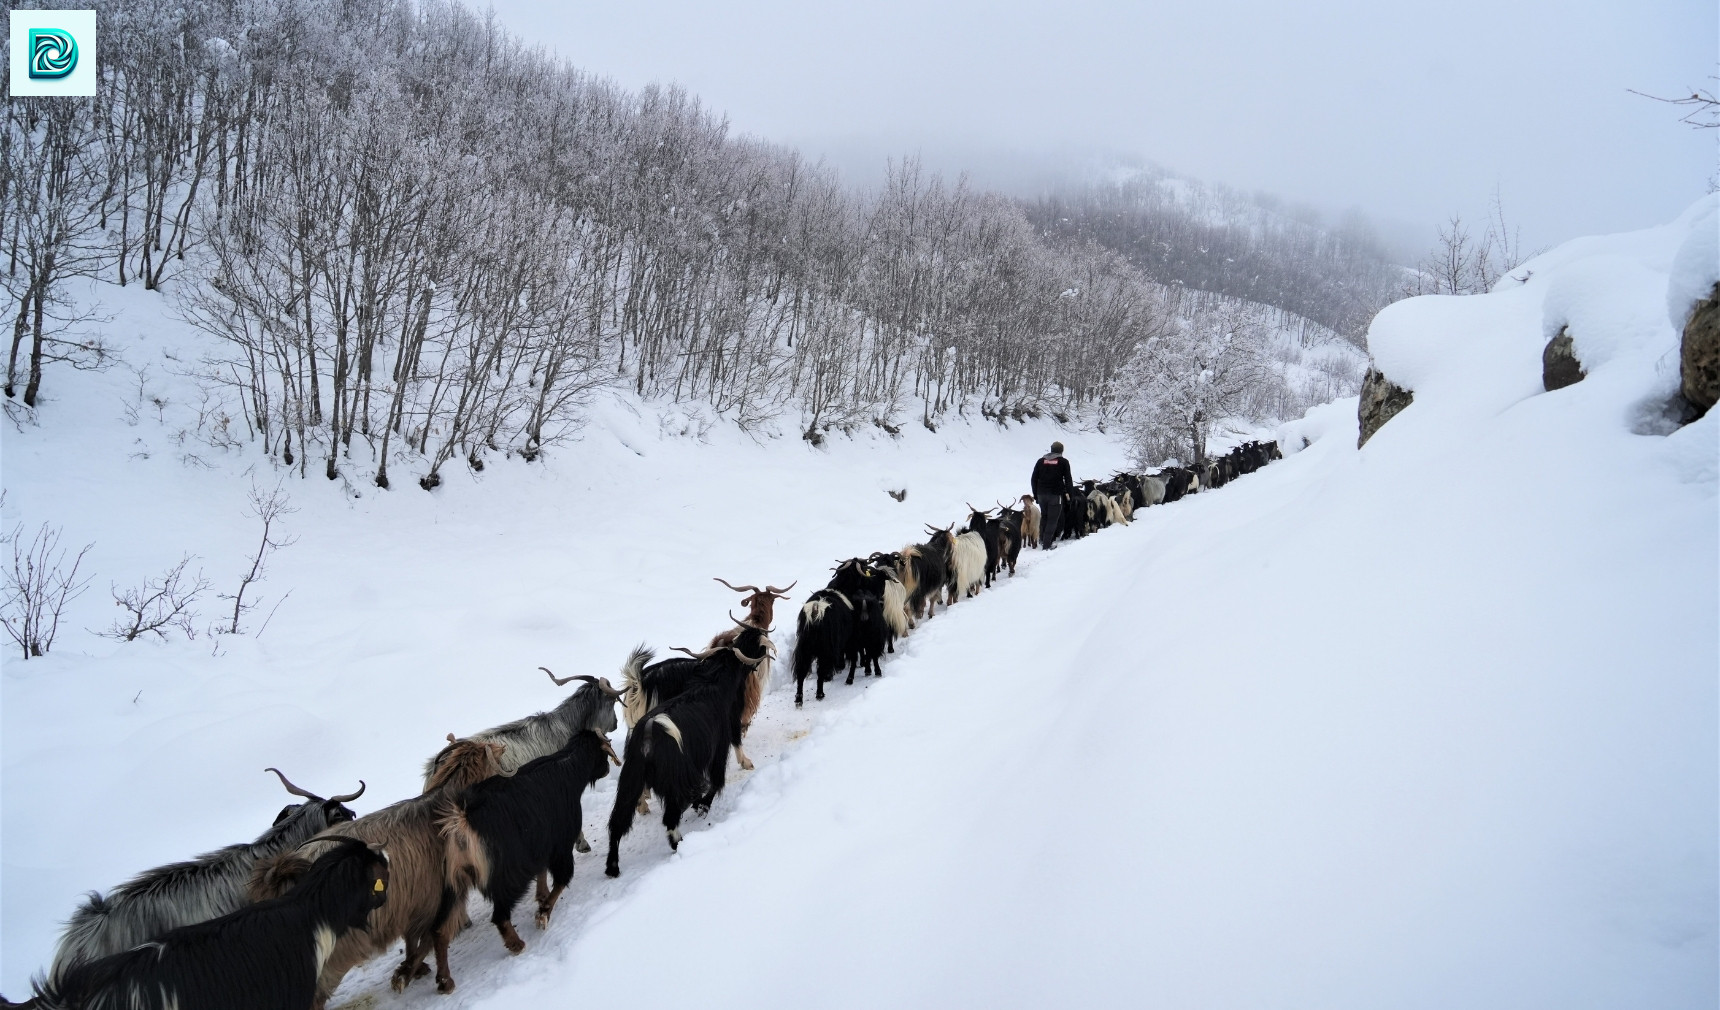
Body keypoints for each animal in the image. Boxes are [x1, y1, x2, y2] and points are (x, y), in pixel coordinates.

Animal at [249, 736, 502, 1010]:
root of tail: (279, 875)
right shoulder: (443, 894)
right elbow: (434, 937)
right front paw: (417, 977)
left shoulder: (412, 902)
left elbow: (414, 939)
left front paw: (413, 970)